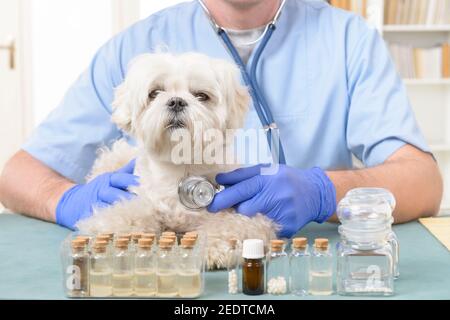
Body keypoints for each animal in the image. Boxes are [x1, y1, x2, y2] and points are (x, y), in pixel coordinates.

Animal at [75, 53, 276, 268]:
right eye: (154, 93)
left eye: (201, 96)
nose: (176, 102)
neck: (181, 167)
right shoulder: (137, 202)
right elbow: (123, 218)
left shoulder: (245, 215)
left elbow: (232, 225)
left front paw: (214, 247)